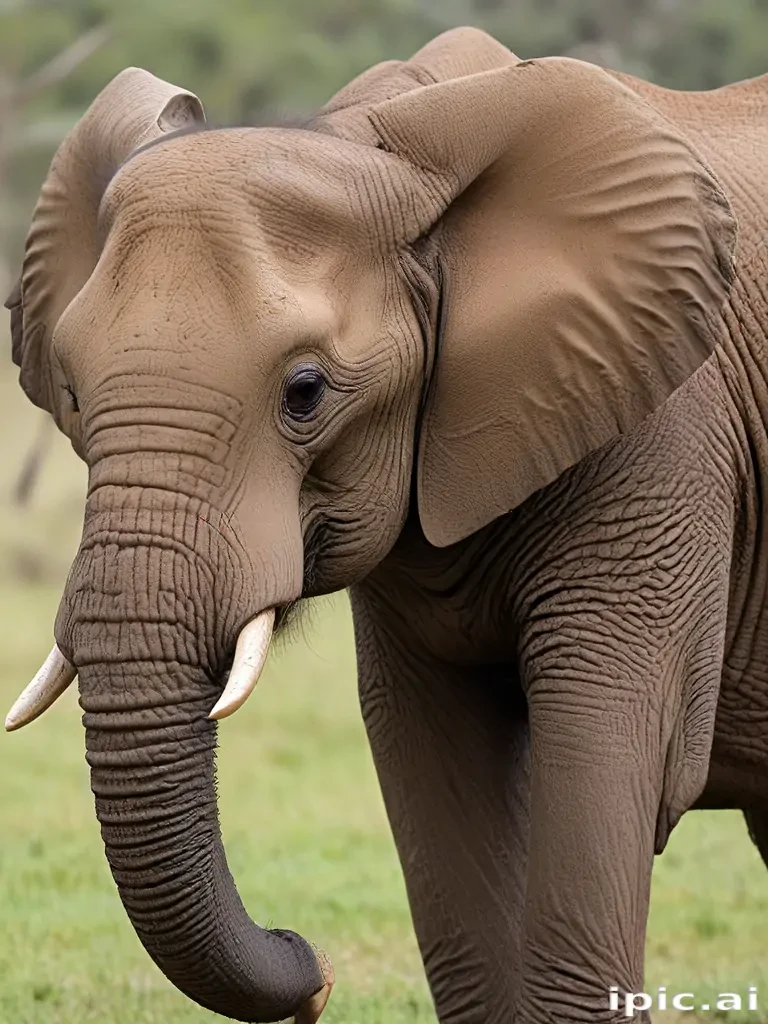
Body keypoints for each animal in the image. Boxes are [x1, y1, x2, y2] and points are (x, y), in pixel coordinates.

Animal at [4, 22, 768, 1024]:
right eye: (73, 391)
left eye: (305, 392)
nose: (314, 967)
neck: (377, 139)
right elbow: (431, 763)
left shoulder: (662, 441)